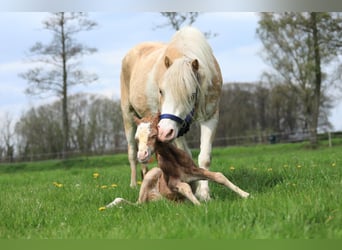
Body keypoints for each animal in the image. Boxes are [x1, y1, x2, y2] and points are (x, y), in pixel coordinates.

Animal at [107, 114, 248, 207]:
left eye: (153, 135)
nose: (142, 156)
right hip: (151, 176)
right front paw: (200, 205)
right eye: (136, 139)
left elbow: (219, 176)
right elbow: (185, 187)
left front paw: (246, 195)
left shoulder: (195, 171)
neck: (174, 160)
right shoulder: (172, 183)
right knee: (137, 204)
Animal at [120, 26, 222, 200]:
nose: (164, 132)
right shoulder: (176, 131)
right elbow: (186, 155)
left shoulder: (210, 117)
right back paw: (134, 184)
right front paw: (194, 187)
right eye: (161, 91)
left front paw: (204, 193)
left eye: (192, 94)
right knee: (133, 152)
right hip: (128, 116)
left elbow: (204, 158)